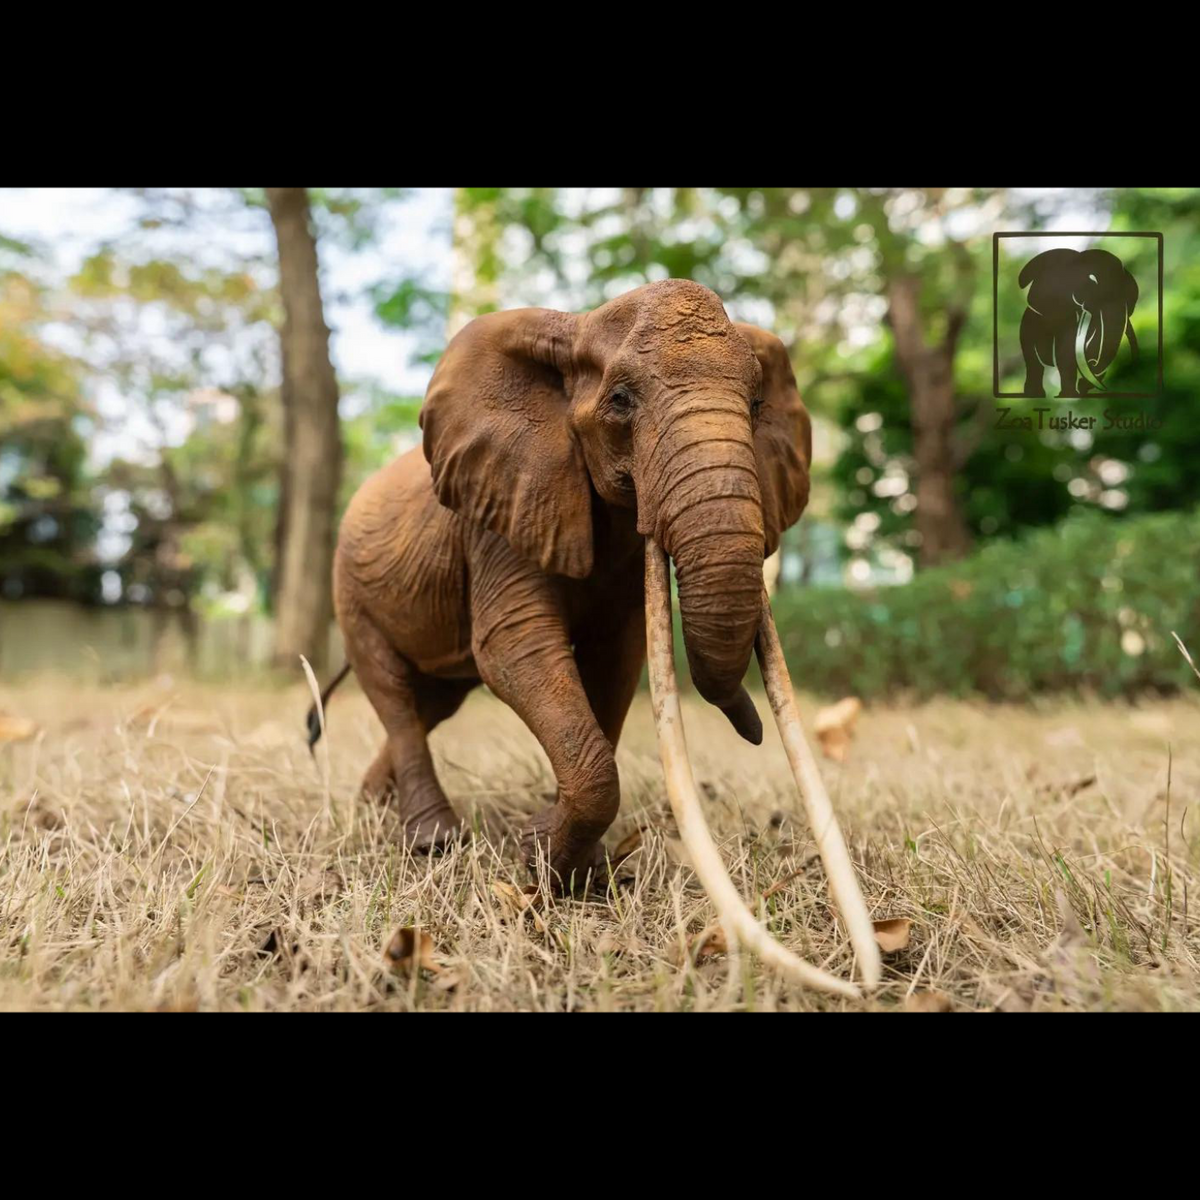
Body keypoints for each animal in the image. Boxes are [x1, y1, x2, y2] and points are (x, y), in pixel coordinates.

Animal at [313, 279, 813, 891]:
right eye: (621, 400)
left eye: (756, 405)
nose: (753, 729)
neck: (577, 327)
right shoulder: (499, 514)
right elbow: (515, 646)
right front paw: (541, 855)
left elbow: (615, 660)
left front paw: (574, 863)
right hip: (350, 591)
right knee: (395, 694)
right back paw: (433, 841)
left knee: (434, 704)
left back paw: (373, 806)